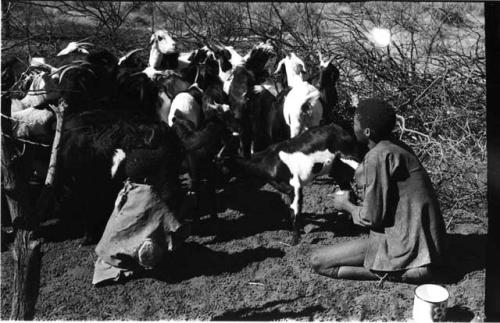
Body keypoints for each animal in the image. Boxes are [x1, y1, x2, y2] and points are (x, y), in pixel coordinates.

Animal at [219, 124, 364, 246]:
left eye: (219, 166)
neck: (269, 162)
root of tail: (341, 129)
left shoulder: (295, 186)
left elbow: (295, 212)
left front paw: (294, 242)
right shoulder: (285, 190)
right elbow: (290, 210)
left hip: (350, 159)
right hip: (337, 170)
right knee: (349, 192)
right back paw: (350, 226)